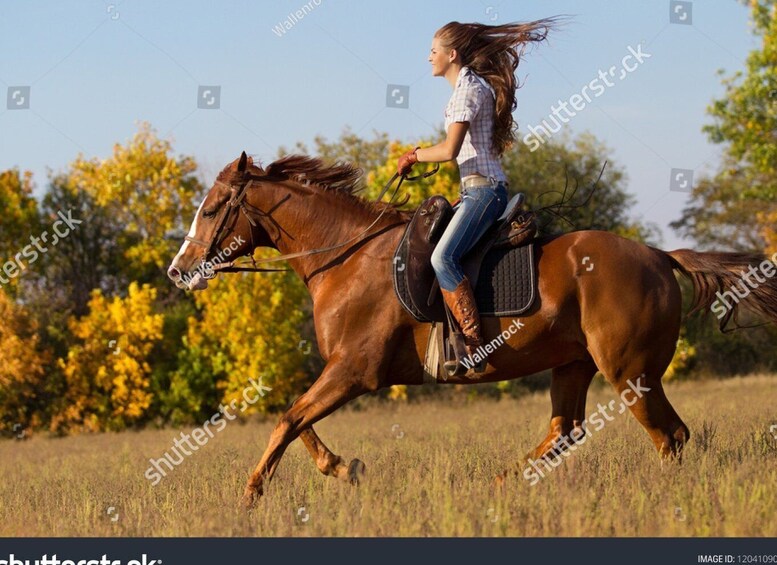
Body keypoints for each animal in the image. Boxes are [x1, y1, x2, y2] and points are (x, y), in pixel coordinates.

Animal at [168, 151, 776, 506]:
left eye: (214, 207)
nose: (178, 269)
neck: (345, 255)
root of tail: (659, 255)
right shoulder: (341, 371)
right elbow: (295, 418)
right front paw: (341, 468)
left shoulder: (355, 371)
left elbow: (288, 419)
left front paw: (253, 492)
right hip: (574, 365)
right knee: (566, 431)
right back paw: (503, 485)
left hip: (630, 372)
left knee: (669, 436)